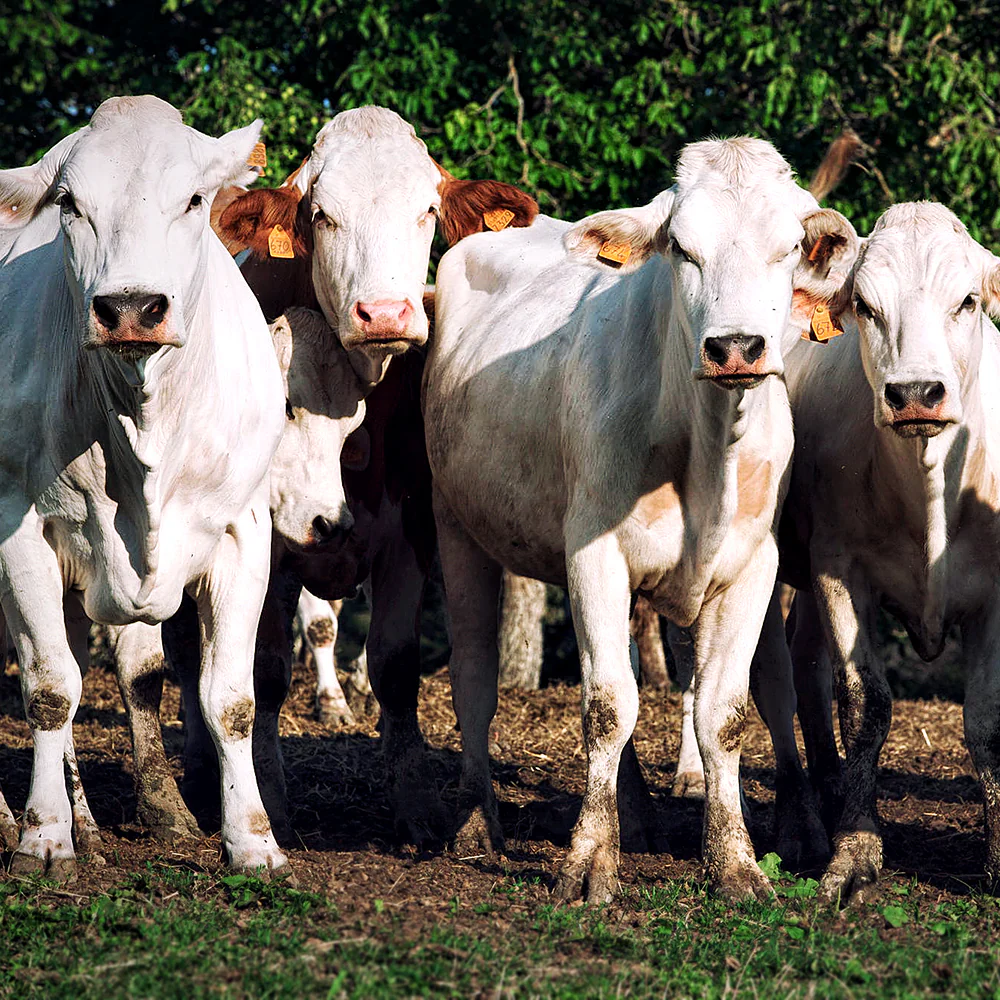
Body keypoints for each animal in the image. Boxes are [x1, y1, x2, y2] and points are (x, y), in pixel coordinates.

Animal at [0, 95, 286, 878]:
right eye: (69, 204)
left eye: (194, 200)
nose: (130, 308)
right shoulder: (18, 524)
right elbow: (50, 690)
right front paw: (42, 837)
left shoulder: (245, 529)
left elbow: (228, 699)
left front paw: (251, 839)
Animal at [198, 106, 538, 842]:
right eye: (322, 214)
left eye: (427, 211)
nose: (384, 314)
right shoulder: (267, 543)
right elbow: (265, 670)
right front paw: (269, 800)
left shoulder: (409, 527)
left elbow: (395, 667)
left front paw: (414, 805)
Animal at [423, 137, 857, 902]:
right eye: (682, 248)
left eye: (787, 248)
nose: (736, 348)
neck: (704, 447)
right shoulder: (594, 554)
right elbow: (605, 706)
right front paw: (590, 860)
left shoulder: (752, 567)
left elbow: (721, 713)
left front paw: (734, 862)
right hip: (458, 526)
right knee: (475, 674)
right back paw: (478, 824)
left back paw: (639, 813)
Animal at [753, 201, 1000, 902]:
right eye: (865, 306)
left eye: (968, 301)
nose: (915, 393)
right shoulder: (842, 573)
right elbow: (866, 705)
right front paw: (856, 850)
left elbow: (985, 720)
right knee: (778, 678)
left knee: (806, 664)